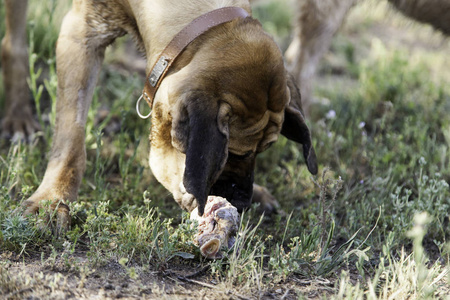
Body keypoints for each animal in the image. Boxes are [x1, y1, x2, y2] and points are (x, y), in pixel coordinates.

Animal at [0, 0, 316, 232]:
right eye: (234, 153)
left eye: (263, 151)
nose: (242, 202)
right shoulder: (80, 32)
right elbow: (71, 138)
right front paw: (53, 200)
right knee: (14, 41)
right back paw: (18, 117)